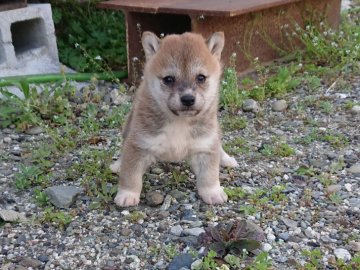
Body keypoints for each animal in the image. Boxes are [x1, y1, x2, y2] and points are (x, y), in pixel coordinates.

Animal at [111, 31, 238, 207]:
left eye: (201, 78)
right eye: (168, 79)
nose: (188, 99)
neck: (179, 122)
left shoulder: (204, 146)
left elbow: (209, 175)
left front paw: (213, 192)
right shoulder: (138, 145)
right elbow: (131, 176)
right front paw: (127, 194)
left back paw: (226, 159)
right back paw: (118, 164)